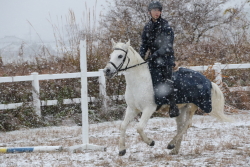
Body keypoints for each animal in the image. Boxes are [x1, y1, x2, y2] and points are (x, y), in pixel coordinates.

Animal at [103, 39, 232, 156]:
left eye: (120, 56)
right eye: (110, 55)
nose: (107, 71)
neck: (139, 81)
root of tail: (208, 81)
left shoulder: (149, 109)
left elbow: (139, 127)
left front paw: (151, 142)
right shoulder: (132, 109)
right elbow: (123, 126)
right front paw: (121, 150)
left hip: (191, 106)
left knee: (187, 124)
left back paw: (171, 144)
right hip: (181, 109)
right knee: (181, 126)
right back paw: (175, 149)